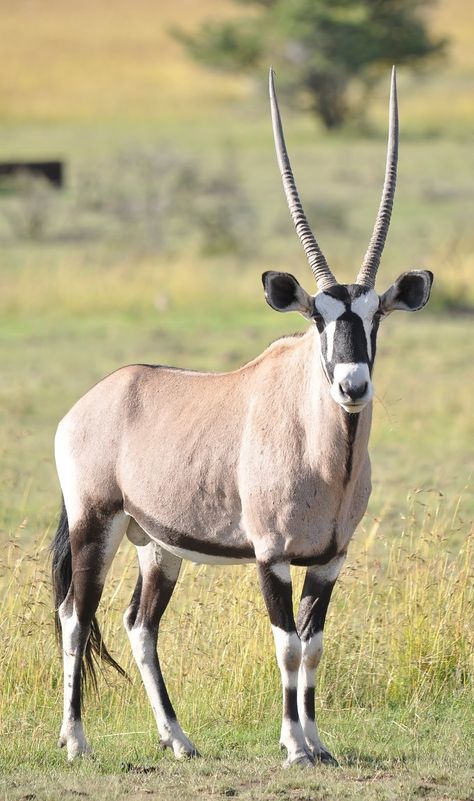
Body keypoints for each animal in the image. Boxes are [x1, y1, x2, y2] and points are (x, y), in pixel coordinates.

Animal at [51, 70, 434, 768]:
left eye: (375, 316)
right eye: (317, 318)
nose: (352, 385)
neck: (326, 454)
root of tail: (91, 401)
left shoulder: (330, 560)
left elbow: (313, 647)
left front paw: (318, 743)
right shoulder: (271, 555)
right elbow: (285, 644)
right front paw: (294, 747)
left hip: (155, 545)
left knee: (139, 625)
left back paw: (178, 739)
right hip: (97, 524)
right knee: (75, 614)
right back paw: (76, 741)